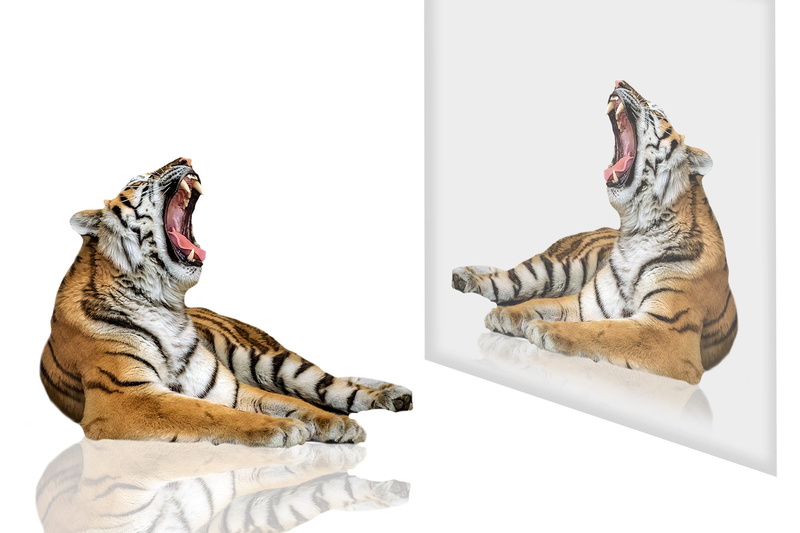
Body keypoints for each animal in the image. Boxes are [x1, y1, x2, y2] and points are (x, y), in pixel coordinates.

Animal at [40, 157, 412, 447]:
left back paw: (393, 396)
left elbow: (287, 403)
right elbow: (209, 413)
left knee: (335, 385)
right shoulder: (126, 396)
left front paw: (337, 424)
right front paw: (285, 429)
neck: (166, 304)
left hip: (271, 361)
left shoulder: (226, 387)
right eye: (138, 182)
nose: (185, 158)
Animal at [452, 80, 737, 385]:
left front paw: (544, 329)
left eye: (658, 112)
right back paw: (464, 277)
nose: (620, 82)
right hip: (552, 269)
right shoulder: (586, 303)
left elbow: (603, 330)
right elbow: (541, 304)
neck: (635, 230)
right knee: (506, 278)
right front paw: (505, 315)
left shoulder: (667, 332)